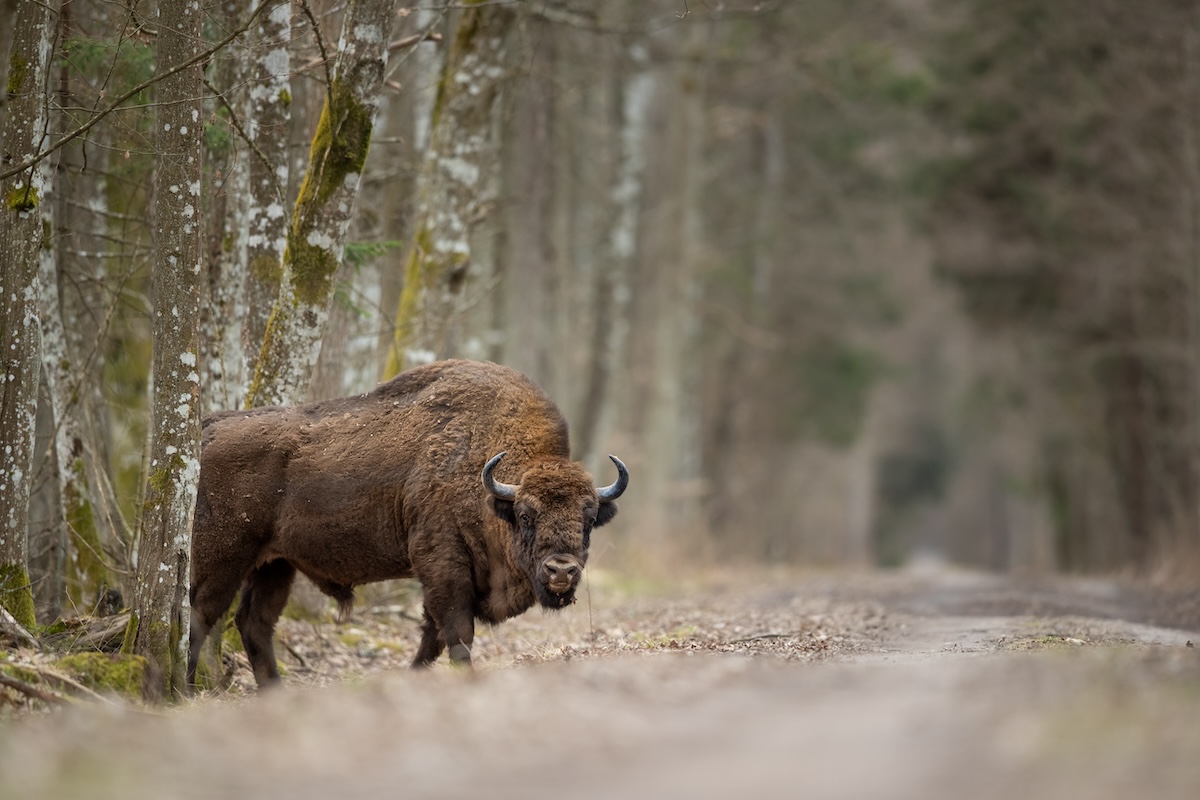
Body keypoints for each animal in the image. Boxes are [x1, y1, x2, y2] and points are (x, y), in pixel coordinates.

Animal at [187, 357, 628, 690]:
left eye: (589, 518)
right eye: (525, 514)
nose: (561, 571)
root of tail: (207, 430)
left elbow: (432, 637)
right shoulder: (442, 564)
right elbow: (456, 634)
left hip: (276, 564)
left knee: (254, 622)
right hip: (222, 557)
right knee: (199, 616)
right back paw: (183, 690)